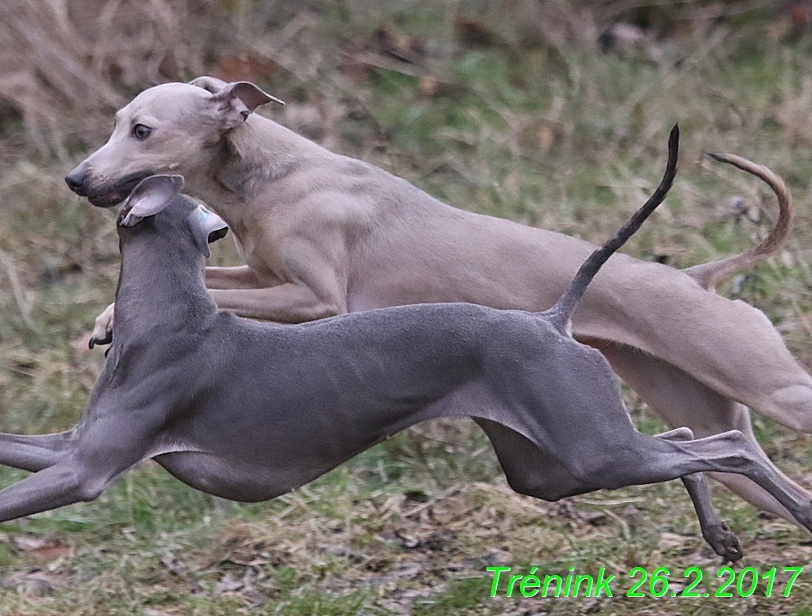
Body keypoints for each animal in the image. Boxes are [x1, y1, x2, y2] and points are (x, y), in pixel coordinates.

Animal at [3, 132, 808, 560]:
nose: (81, 180)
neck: (172, 321)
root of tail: (552, 320)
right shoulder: (68, 447)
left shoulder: (85, 470)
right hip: (551, 466)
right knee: (685, 439)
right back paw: (721, 535)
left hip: (591, 447)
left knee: (725, 447)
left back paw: (793, 512)